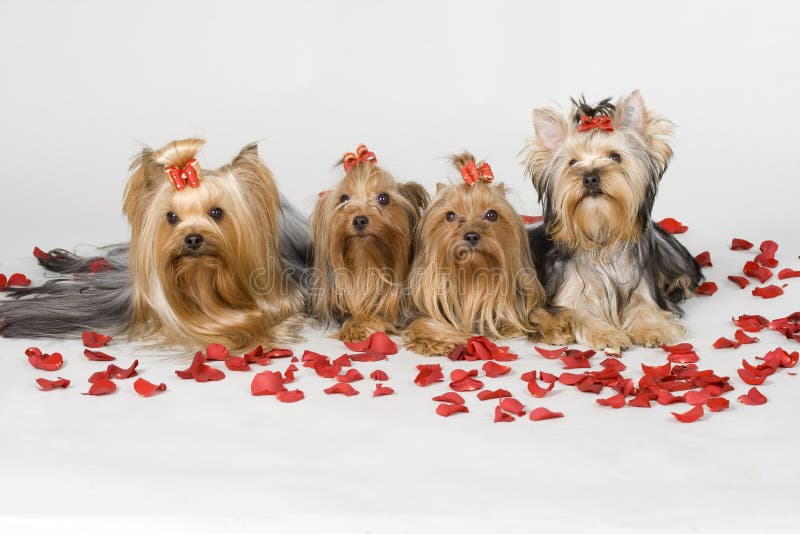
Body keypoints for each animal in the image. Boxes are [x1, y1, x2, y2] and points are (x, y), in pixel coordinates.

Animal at [404, 153, 572, 358]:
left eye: (491, 214)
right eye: (450, 216)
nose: (471, 235)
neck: (472, 276)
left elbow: (535, 312)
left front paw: (554, 328)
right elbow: (422, 321)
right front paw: (435, 341)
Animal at [524, 92, 700, 352]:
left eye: (615, 156)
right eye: (572, 163)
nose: (590, 177)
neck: (601, 233)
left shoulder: (641, 286)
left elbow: (644, 306)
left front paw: (652, 329)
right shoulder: (570, 292)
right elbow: (581, 313)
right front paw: (606, 334)